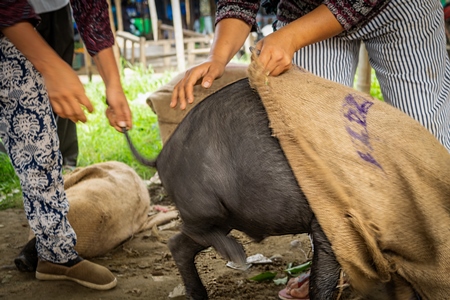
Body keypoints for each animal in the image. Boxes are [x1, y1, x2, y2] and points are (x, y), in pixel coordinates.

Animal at [123, 78, 342, 300]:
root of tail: (160, 157)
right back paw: (236, 254)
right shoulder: (327, 224)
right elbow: (323, 279)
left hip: (224, 218)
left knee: (178, 244)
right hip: (205, 206)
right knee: (190, 231)